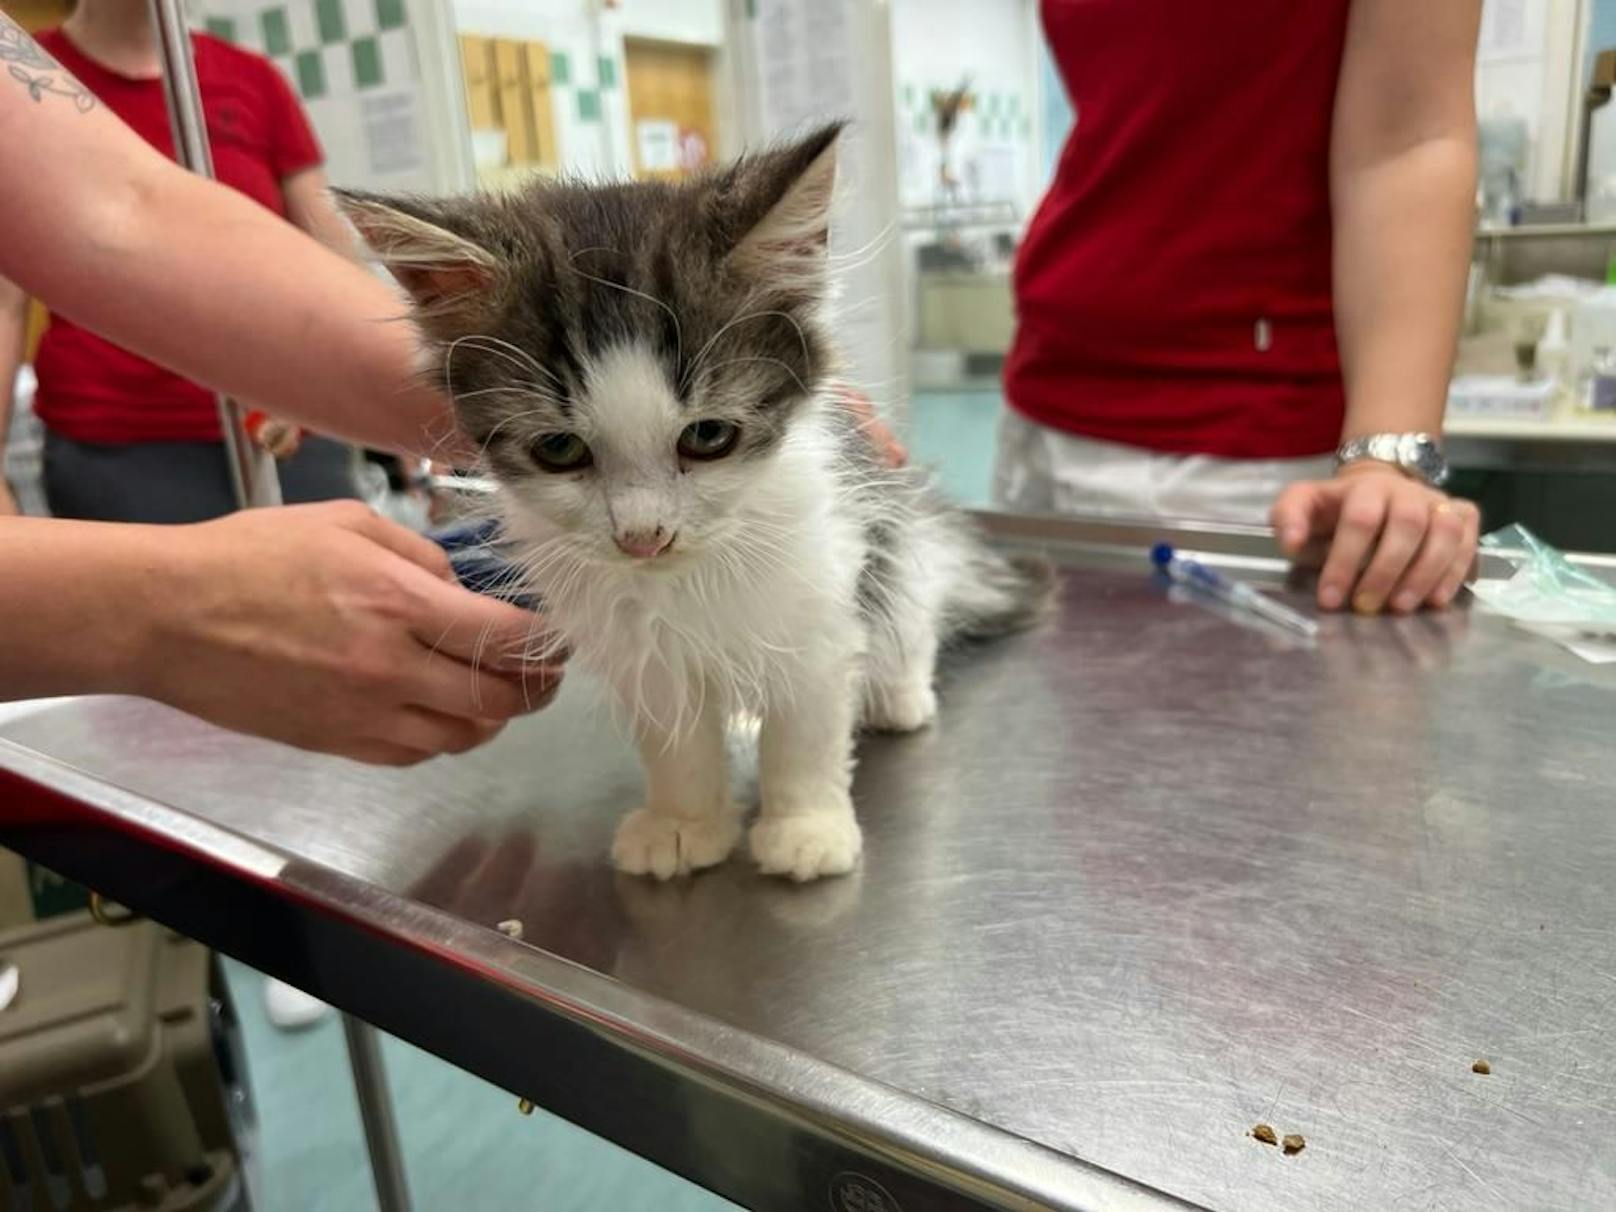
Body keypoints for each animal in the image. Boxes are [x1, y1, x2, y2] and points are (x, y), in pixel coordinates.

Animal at [337, 123, 1047, 885]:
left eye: (708, 437)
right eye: (559, 449)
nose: (643, 535)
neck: (688, 576)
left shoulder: (820, 603)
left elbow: (805, 732)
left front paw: (806, 827)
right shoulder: (642, 649)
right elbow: (677, 747)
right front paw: (683, 825)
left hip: (891, 533)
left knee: (910, 614)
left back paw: (900, 696)